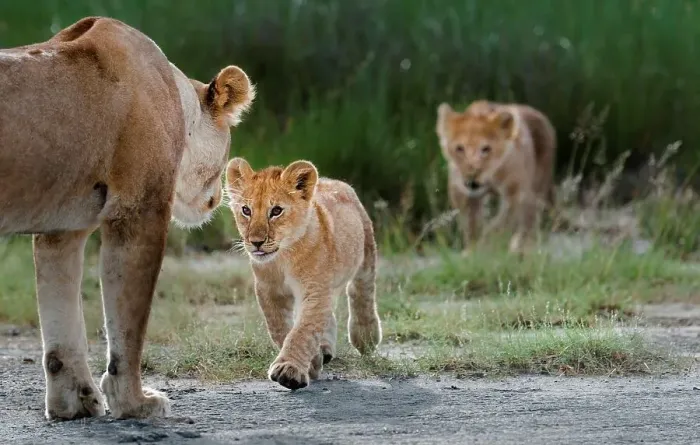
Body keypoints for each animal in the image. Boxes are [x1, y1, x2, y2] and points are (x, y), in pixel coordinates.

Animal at [0, 17, 255, 420]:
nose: (218, 198)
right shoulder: (140, 212)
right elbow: (129, 323)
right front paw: (135, 403)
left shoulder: (62, 230)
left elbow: (61, 319)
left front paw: (74, 404)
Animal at [225, 157, 382, 390]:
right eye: (246, 210)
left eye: (276, 211)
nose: (256, 242)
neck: (283, 258)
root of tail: (331, 180)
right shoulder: (269, 291)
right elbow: (281, 329)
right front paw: (313, 363)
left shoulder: (315, 290)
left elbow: (303, 331)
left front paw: (289, 371)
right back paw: (325, 350)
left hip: (366, 255)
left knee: (361, 293)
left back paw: (366, 337)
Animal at [436, 100, 556, 253]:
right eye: (460, 148)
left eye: (486, 149)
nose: (472, 175)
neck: (491, 176)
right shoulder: (462, 193)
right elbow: (471, 224)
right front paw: (472, 251)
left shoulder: (515, 192)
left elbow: (499, 225)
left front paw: (487, 245)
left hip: (537, 188)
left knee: (530, 218)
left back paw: (522, 246)